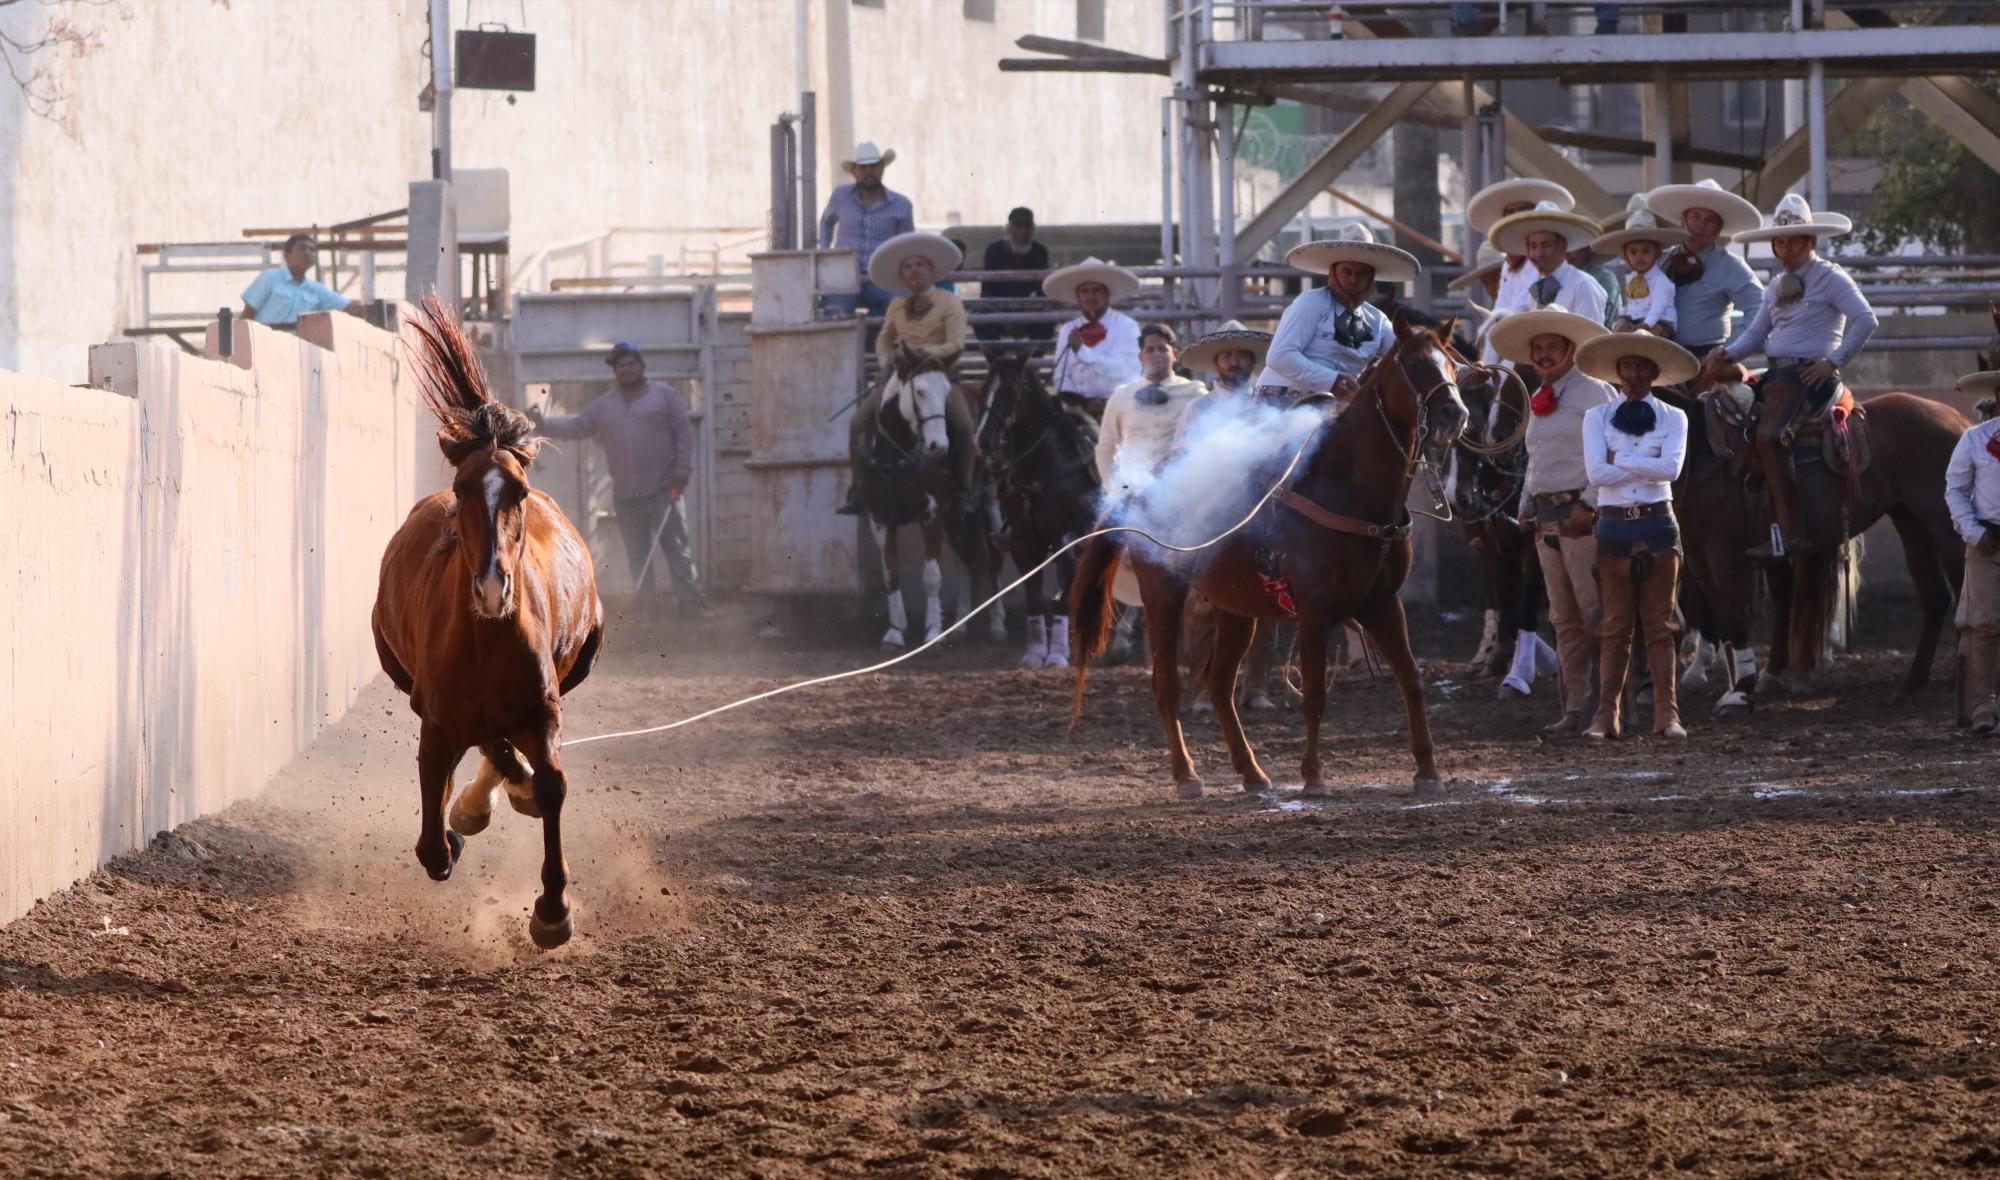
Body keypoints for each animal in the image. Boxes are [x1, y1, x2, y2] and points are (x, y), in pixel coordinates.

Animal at [370, 296, 600, 952]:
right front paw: (456, 825)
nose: (493, 586)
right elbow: (432, 838)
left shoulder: (543, 708)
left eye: (518, 491)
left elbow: (551, 785)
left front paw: (552, 909)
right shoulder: (434, 716)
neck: (484, 643)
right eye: (462, 487)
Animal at [1064, 314, 1472, 800]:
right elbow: (1314, 691)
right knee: (1167, 685)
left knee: (1220, 685)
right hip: (1163, 594)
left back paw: (1253, 773)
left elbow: (1412, 679)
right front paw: (1313, 776)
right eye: (1412, 363)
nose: (1454, 414)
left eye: (1452, 364)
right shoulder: (1315, 609)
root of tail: (1142, 487)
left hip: (1236, 608)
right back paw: (1188, 777)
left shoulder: (1383, 603)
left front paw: (1428, 772)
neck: (1348, 488)